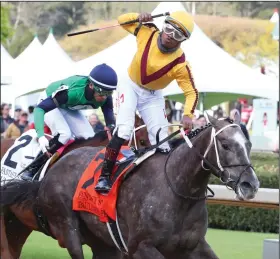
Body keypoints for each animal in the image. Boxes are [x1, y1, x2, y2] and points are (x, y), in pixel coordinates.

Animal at [1, 116, 260, 259]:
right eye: (225, 144)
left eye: (248, 144)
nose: (251, 185)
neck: (178, 189)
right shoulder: (140, 247)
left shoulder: (193, 246)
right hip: (67, 227)